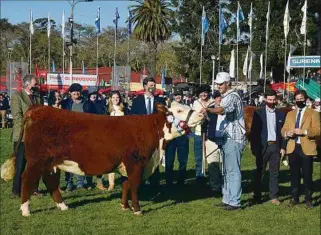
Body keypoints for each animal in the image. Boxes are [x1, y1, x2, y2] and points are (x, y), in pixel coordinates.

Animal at [1, 103, 202, 217]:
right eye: (179, 109)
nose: (202, 114)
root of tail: (38, 108)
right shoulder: (136, 162)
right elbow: (134, 186)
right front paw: (137, 210)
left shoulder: (128, 165)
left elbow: (126, 184)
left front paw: (124, 206)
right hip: (36, 160)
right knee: (27, 179)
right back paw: (26, 211)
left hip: (52, 162)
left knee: (51, 182)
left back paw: (63, 206)